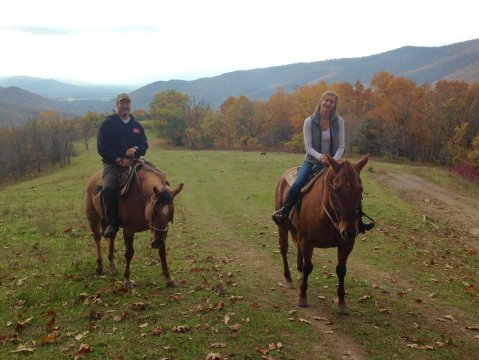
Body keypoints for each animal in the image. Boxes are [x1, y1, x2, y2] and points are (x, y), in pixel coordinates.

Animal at [84, 162, 184, 290]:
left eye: (171, 214)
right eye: (154, 212)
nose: (156, 243)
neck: (141, 197)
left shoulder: (162, 232)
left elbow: (162, 253)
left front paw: (169, 278)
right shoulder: (129, 230)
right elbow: (129, 253)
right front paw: (127, 280)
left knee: (111, 238)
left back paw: (112, 264)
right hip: (93, 219)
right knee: (97, 238)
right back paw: (99, 266)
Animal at [276, 154, 370, 312]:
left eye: (360, 189)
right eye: (336, 189)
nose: (350, 231)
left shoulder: (346, 245)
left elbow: (341, 270)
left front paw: (342, 302)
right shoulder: (308, 242)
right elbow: (308, 267)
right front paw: (302, 296)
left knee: (297, 248)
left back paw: (299, 272)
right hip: (283, 225)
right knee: (284, 249)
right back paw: (289, 278)